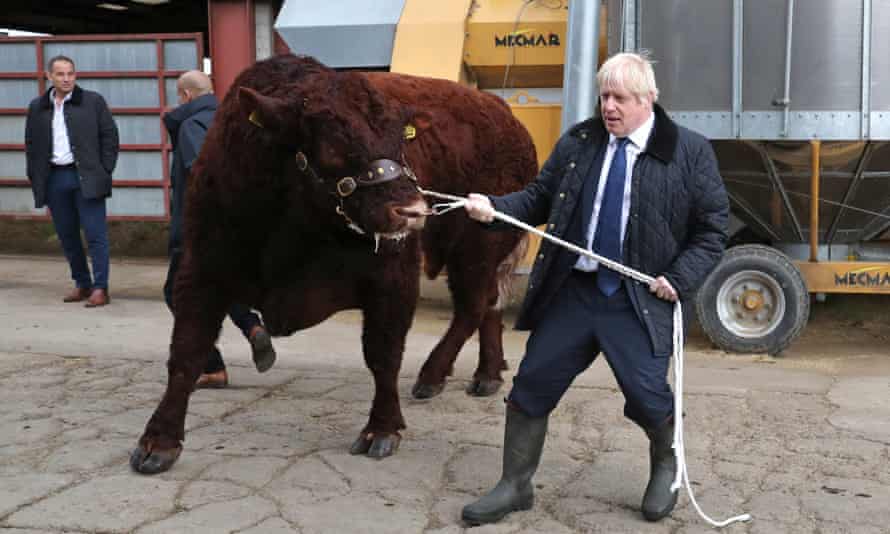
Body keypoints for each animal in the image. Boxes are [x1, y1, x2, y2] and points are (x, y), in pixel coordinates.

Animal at [130, 53, 536, 474]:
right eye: (332, 147)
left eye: (402, 140)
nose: (411, 210)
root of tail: (504, 114)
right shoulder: (202, 271)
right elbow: (186, 352)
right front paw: (158, 441)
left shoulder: (392, 279)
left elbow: (383, 354)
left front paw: (381, 430)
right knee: (488, 305)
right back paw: (487, 374)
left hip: (476, 247)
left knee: (473, 307)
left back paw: (432, 375)